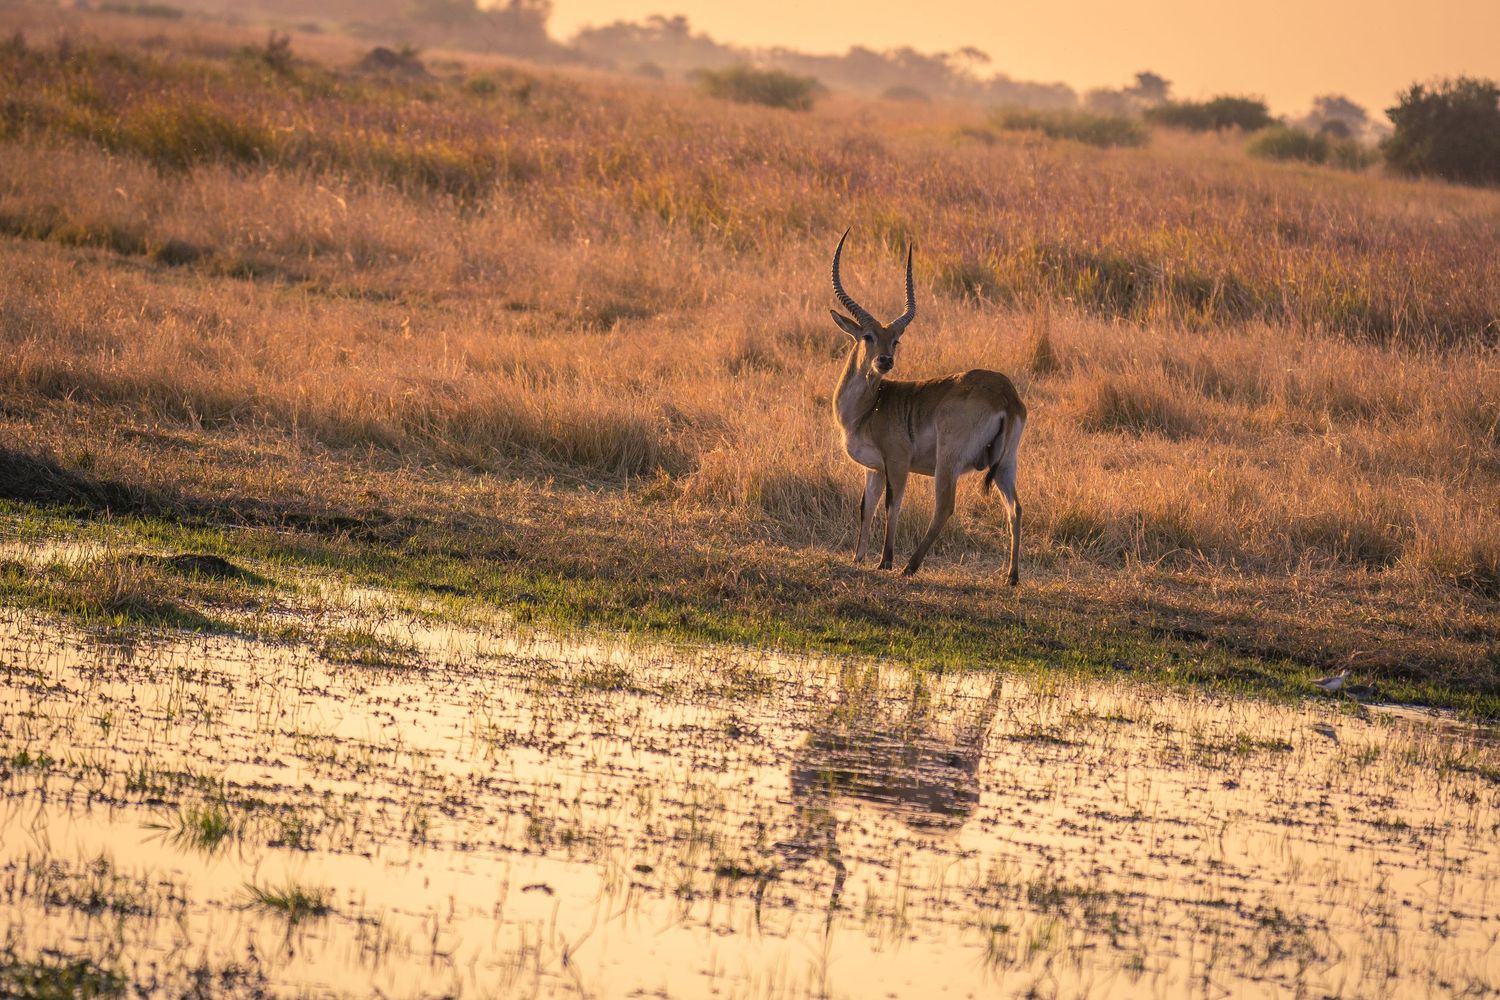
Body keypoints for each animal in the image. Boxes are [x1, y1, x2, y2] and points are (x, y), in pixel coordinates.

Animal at [829, 230, 1027, 582]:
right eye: (868, 336)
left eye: (895, 340)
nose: (885, 361)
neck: (869, 407)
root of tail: (1006, 395)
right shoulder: (874, 469)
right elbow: (866, 507)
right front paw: (857, 557)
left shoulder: (897, 462)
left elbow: (892, 505)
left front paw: (885, 561)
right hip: (1006, 464)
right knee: (1015, 507)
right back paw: (1011, 577)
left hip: (947, 461)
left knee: (945, 507)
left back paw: (910, 566)